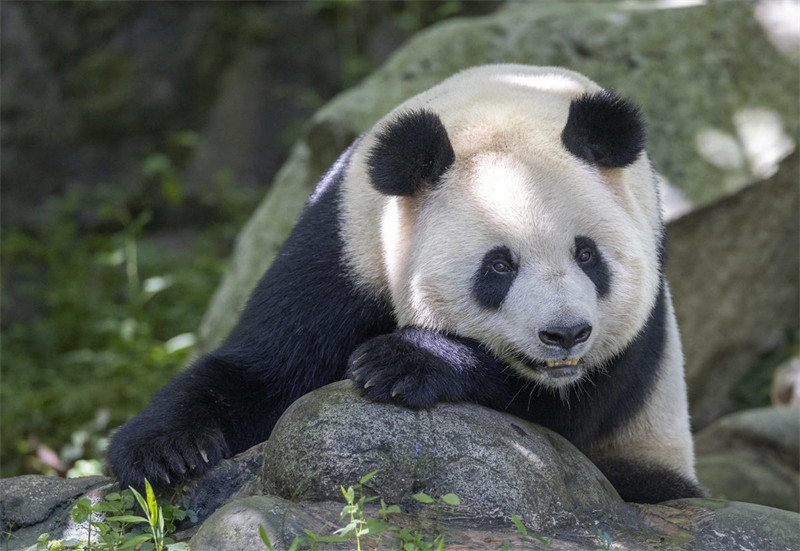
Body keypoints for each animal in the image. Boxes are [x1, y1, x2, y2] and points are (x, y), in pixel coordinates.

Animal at [106, 66, 700, 504]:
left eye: (587, 254)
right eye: (499, 266)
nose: (566, 334)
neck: (504, 110)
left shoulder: (646, 274)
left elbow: (561, 414)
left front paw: (402, 362)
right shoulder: (346, 238)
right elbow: (264, 368)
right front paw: (164, 451)